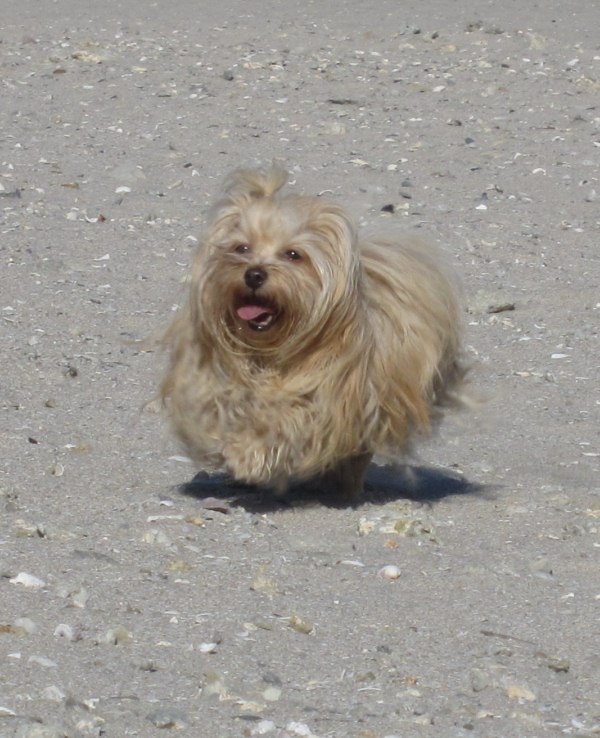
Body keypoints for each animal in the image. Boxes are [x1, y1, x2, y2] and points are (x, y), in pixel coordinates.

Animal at [159, 165, 464, 500]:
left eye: (293, 254)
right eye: (242, 248)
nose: (254, 274)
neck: (269, 350)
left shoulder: (328, 398)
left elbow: (289, 422)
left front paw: (249, 454)